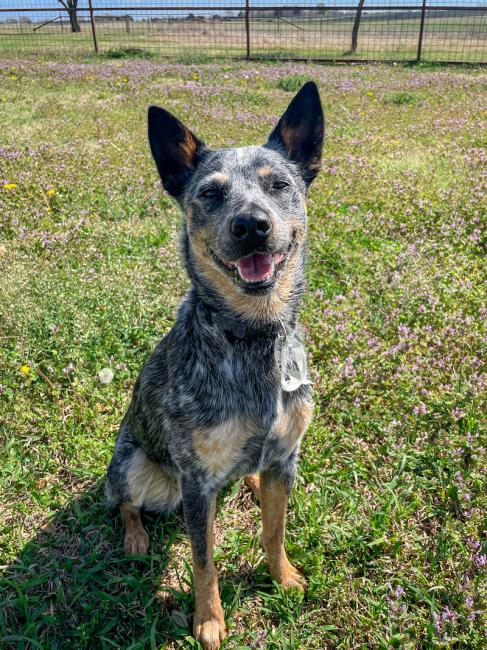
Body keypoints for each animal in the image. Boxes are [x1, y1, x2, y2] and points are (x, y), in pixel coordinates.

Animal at [104, 81, 324, 648]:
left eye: (279, 185)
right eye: (209, 194)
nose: (252, 225)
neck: (253, 337)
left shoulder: (284, 455)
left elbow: (274, 531)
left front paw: (283, 577)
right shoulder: (197, 484)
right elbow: (204, 563)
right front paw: (208, 620)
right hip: (135, 464)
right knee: (124, 502)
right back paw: (135, 537)